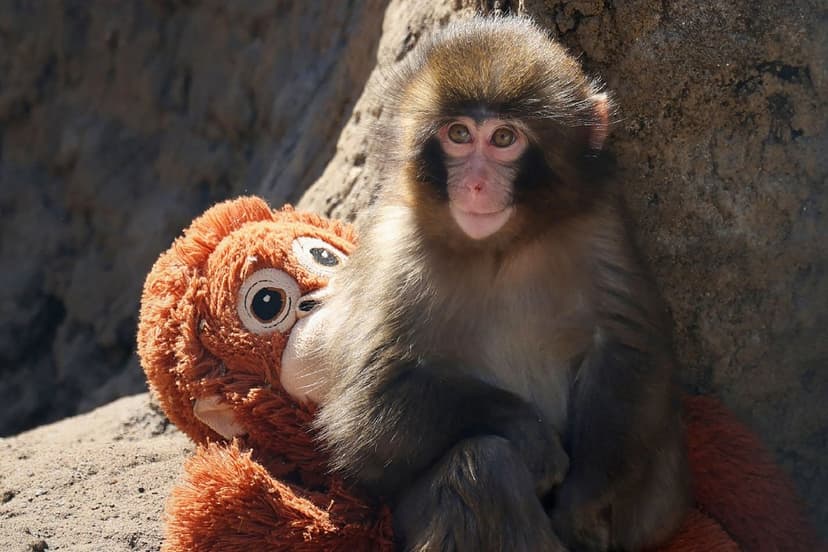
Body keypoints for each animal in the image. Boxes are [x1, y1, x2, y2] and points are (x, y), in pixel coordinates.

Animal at [309, 16, 691, 552]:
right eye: (459, 134)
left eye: (504, 138)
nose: (474, 184)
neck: (500, 249)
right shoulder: (395, 249)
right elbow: (366, 410)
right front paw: (528, 432)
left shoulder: (600, 224)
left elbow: (626, 348)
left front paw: (582, 502)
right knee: (483, 465)